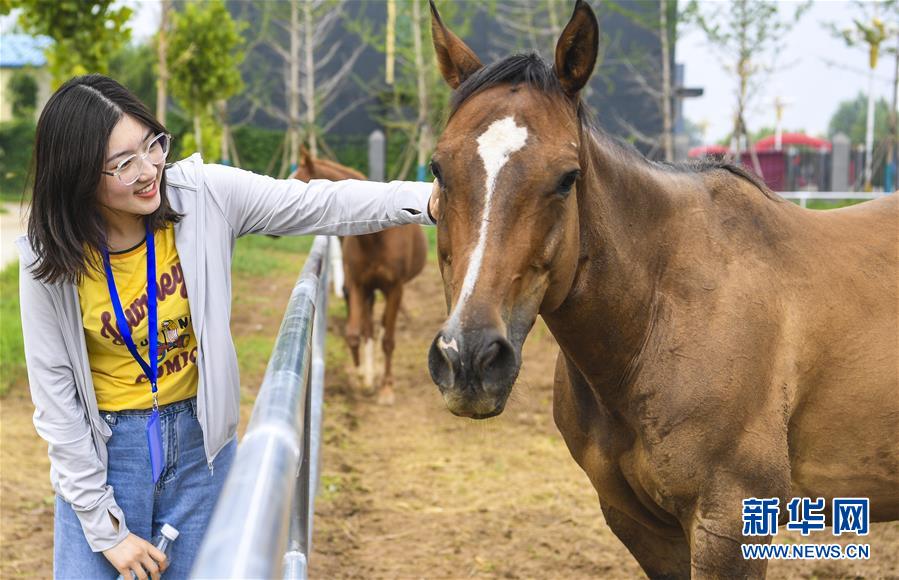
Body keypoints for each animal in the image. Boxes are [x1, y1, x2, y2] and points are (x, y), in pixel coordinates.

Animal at [292, 150, 426, 404]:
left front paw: (386, 388)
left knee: (383, 326)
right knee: (369, 327)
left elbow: (388, 340)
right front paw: (359, 377)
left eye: (300, 181)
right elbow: (355, 333)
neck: (375, 238)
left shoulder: (394, 288)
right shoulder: (357, 285)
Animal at [426, 2, 896, 576]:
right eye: (438, 168)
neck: (660, 317)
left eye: (567, 178)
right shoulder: (642, 525)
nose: (469, 359)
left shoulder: (730, 525)